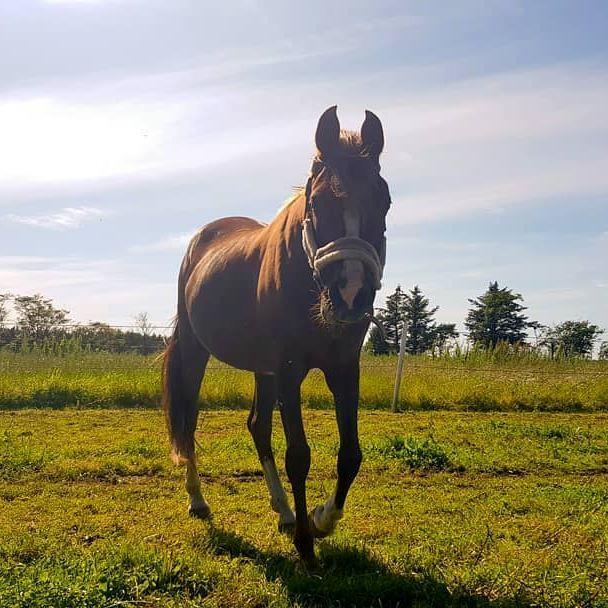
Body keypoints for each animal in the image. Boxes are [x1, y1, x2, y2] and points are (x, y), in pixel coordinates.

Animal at [163, 105, 390, 564]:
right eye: (317, 202)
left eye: (386, 201)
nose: (351, 295)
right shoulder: (289, 371)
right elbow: (299, 455)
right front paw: (306, 542)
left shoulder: (343, 368)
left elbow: (351, 454)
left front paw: (321, 519)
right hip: (198, 354)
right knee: (190, 420)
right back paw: (198, 500)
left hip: (262, 370)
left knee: (257, 426)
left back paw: (284, 510)